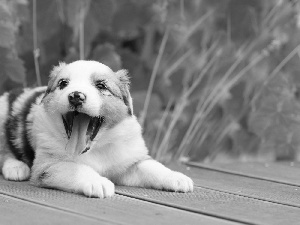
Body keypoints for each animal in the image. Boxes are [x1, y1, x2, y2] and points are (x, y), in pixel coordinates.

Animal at [0, 59, 193, 197]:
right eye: (63, 83)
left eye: (101, 85)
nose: (76, 96)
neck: (96, 147)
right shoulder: (48, 165)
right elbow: (76, 168)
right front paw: (98, 182)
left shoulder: (129, 162)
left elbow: (153, 166)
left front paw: (177, 177)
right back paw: (16, 168)